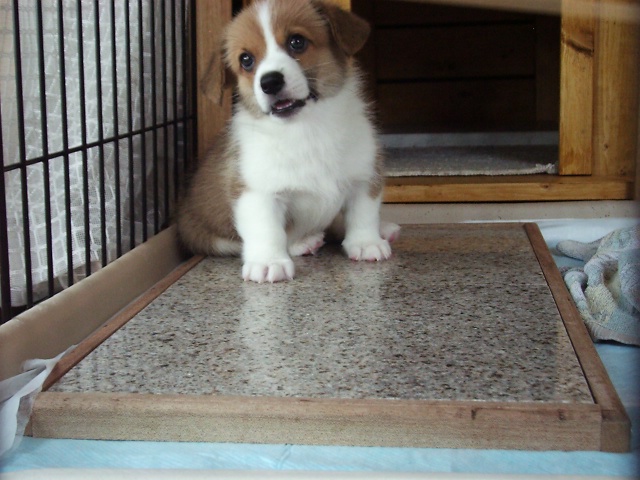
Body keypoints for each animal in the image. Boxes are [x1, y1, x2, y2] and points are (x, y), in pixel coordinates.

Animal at [176, 0, 399, 283]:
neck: (307, 129)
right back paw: (304, 242)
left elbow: (363, 213)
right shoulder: (257, 192)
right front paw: (268, 262)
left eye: (297, 42)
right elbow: (266, 230)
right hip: (212, 238)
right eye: (246, 60)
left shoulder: (365, 174)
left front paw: (366, 242)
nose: (270, 82)